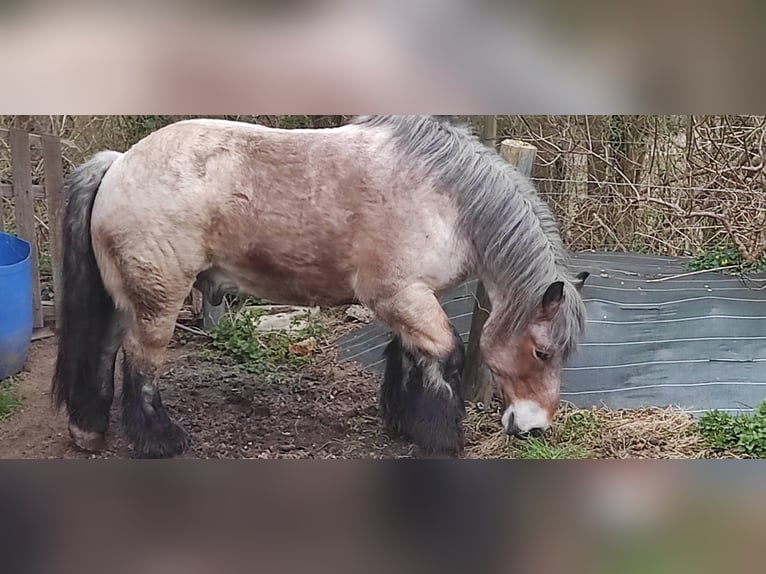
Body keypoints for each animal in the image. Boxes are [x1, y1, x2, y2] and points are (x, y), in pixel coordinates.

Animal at [51, 116, 592, 460]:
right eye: (542, 352)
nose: (533, 427)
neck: (446, 199)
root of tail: (120, 162)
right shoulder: (401, 296)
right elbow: (448, 356)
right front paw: (441, 435)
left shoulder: (411, 297)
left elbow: (408, 356)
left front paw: (405, 423)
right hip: (159, 300)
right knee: (140, 362)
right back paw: (158, 439)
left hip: (125, 296)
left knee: (104, 350)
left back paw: (88, 430)